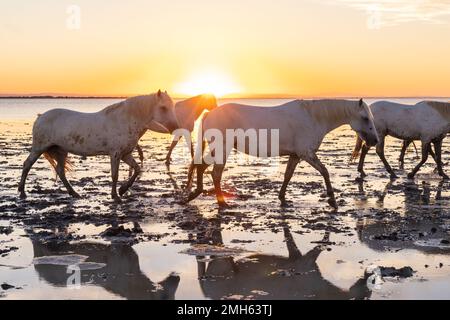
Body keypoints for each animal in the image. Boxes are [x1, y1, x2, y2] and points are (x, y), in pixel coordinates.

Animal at [18, 89, 179, 202]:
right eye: (163, 107)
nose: (175, 126)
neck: (125, 120)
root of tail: (41, 116)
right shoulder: (115, 154)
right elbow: (115, 175)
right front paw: (116, 196)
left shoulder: (126, 154)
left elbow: (137, 169)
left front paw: (122, 190)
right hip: (39, 148)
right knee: (27, 164)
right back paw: (22, 192)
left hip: (61, 151)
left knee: (60, 171)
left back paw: (74, 193)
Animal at [185, 100, 378, 210]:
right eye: (365, 118)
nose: (375, 140)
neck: (313, 117)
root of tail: (209, 114)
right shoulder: (306, 153)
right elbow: (325, 171)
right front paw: (332, 200)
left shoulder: (296, 155)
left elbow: (288, 175)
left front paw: (282, 198)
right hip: (222, 149)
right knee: (215, 173)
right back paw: (222, 203)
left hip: (217, 150)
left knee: (201, 167)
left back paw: (195, 194)